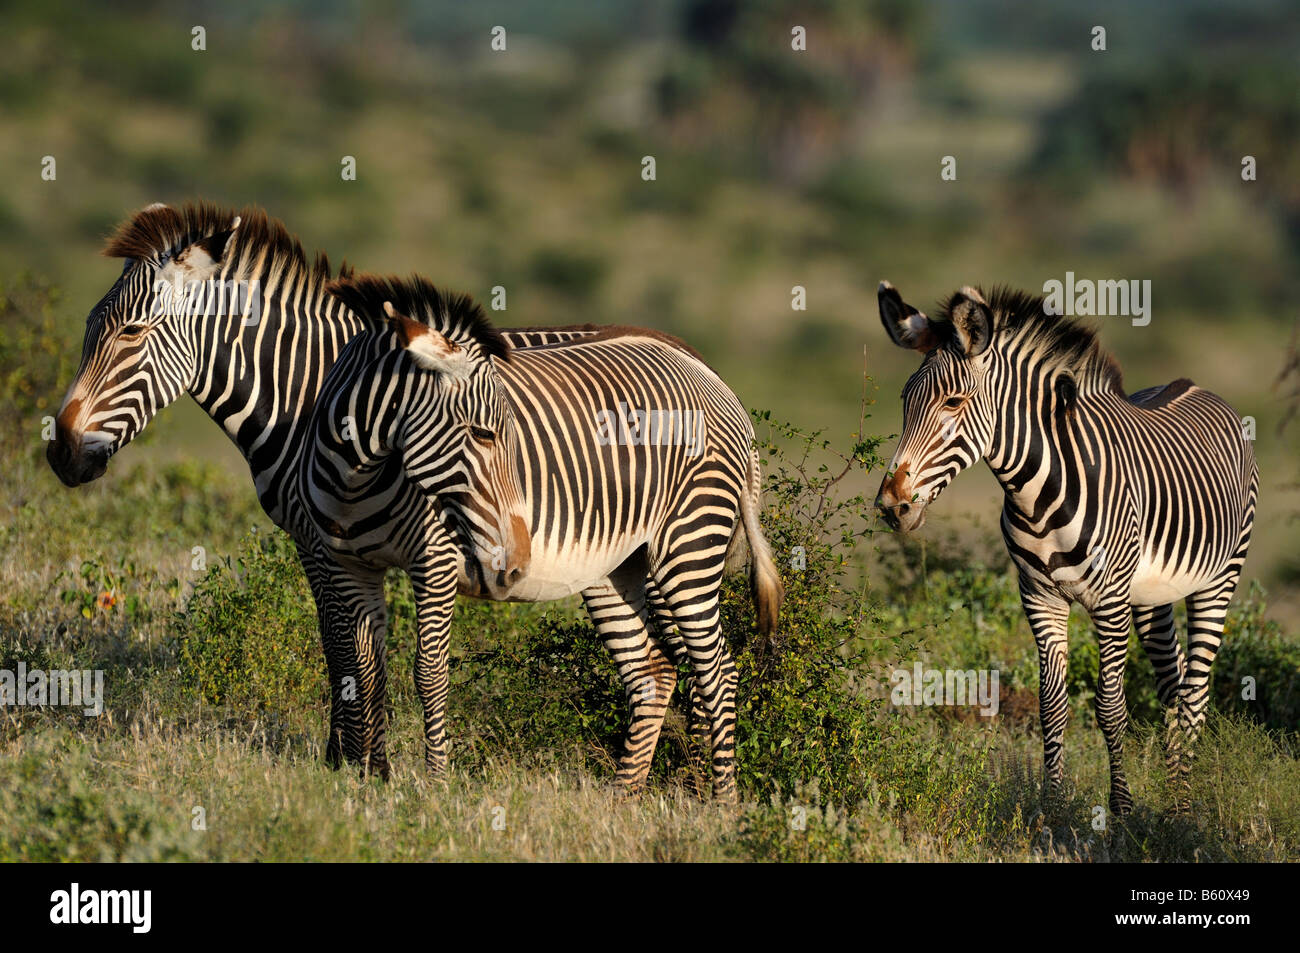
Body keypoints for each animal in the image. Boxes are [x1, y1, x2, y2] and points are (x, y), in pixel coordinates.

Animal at [297, 273, 774, 795]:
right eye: (484, 434)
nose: (517, 562)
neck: (355, 478)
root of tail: (714, 381)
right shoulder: (345, 563)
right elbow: (360, 667)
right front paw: (366, 778)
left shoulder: (434, 561)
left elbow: (429, 671)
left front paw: (435, 782)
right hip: (617, 566)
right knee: (651, 671)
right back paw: (622, 797)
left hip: (688, 543)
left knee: (718, 673)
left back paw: (721, 801)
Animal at [873, 280, 1258, 811]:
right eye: (904, 400)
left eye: (953, 402)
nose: (892, 506)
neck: (1037, 495)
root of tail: (1197, 386)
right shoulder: (1040, 598)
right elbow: (1051, 706)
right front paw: (1053, 809)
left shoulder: (1110, 602)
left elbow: (1110, 706)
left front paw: (1121, 810)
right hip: (1152, 596)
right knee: (1172, 682)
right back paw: (1173, 793)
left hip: (1218, 579)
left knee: (1196, 692)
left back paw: (1183, 802)